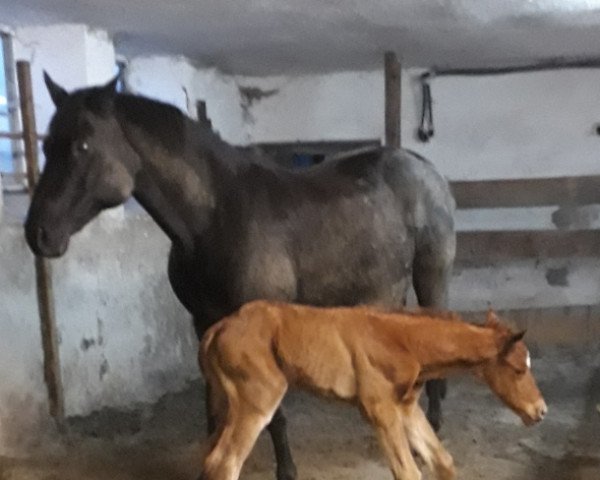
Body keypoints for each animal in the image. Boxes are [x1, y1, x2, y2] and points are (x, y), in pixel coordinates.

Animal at [23, 74, 454, 480]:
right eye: (46, 146)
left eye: (82, 146)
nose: (38, 233)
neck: (213, 217)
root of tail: (428, 170)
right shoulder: (202, 322)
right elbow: (214, 409)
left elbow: (270, 412)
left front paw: (286, 471)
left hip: (430, 278)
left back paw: (431, 438)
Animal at [199, 302, 548, 478]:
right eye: (519, 369)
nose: (540, 410)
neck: (406, 343)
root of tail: (218, 327)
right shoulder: (379, 409)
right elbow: (408, 472)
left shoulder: (406, 406)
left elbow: (442, 461)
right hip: (259, 398)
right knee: (226, 462)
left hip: (228, 403)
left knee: (211, 457)